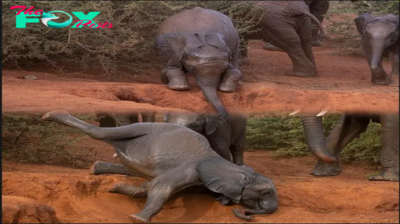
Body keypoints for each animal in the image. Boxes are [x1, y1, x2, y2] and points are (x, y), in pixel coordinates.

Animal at [41, 110, 278, 222]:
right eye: (265, 192)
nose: (248, 213)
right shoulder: (193, 168)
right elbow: (160, 188)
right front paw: (137, 219)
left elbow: (147, 187)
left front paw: (115, 188)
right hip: (144, 127)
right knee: (100, 133)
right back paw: (49, 115)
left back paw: (96, 168)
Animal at [155, 6, 244, 135]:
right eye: (193, 68)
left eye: (222, 69)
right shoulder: (172, 51)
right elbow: (170, 68)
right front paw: (179, 88)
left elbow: (234, 70)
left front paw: (226, 90)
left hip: (235, 39)